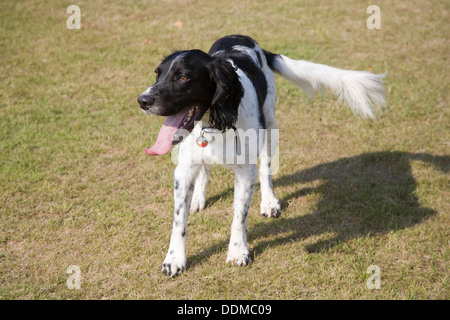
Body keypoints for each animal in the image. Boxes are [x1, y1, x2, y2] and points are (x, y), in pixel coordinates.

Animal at [137, 34, 386, 276]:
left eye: (183, 77)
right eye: (157, 74)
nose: (142, 100)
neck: (216, 121)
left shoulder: (245, 171)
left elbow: (239, 216)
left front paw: (238, 251)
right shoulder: (184, 169)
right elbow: (179, 220)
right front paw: (174, 259)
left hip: (270, 126)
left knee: (266, 169)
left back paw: (269, 201)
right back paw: (198, 198)